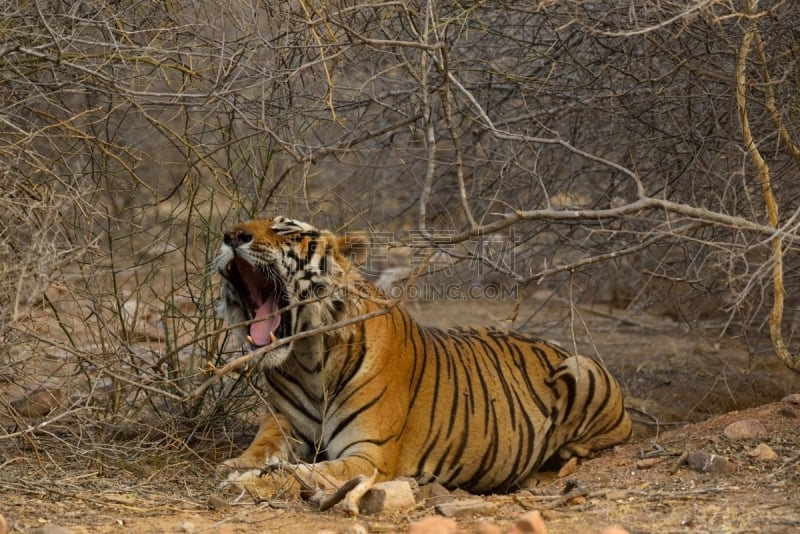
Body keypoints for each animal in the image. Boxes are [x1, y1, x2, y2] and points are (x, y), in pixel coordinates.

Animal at [212, 217, 632, 494]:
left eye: (289, 232)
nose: (230, 235)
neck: (308, 358)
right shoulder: (284, 424)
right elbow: (262, 448)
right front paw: (236, 465)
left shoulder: (369, 456)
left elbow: (302, 471)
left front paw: (249, 479)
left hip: (582, 368)